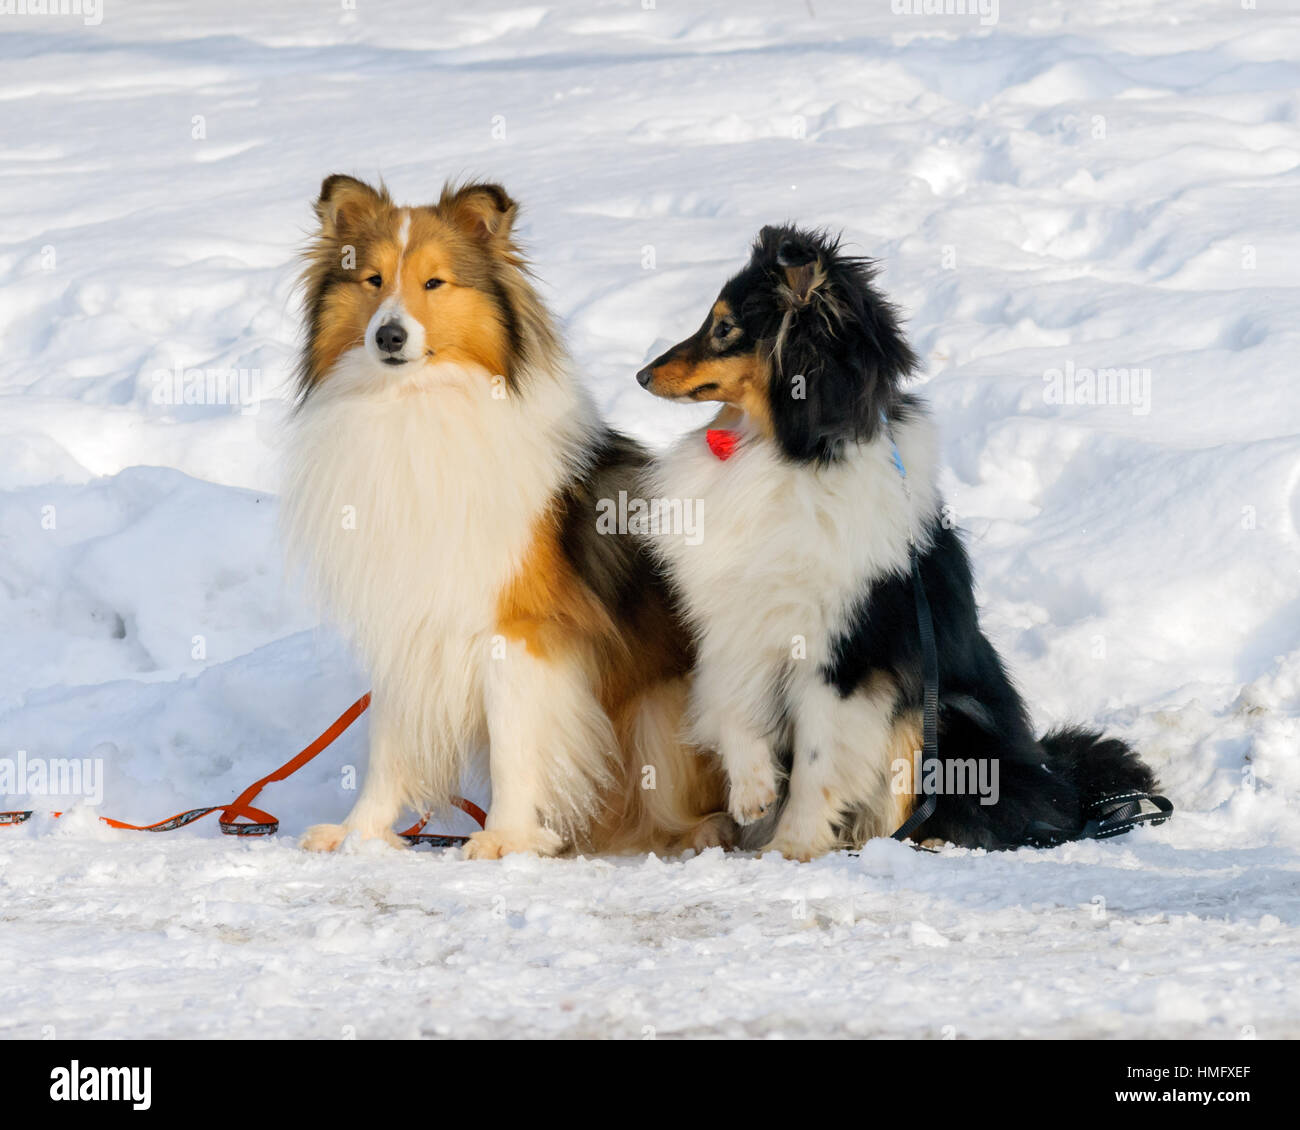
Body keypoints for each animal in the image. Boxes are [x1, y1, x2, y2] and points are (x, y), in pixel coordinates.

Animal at [283, 174, 728, 853]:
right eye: (373, 280)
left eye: (435, 282)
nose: (389, 336)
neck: (415, 406)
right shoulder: (404, 620)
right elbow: (388, 744)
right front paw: (361, 833)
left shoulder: (518, 627)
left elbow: (514, 746)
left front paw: (505, 839)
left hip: (663, 710)